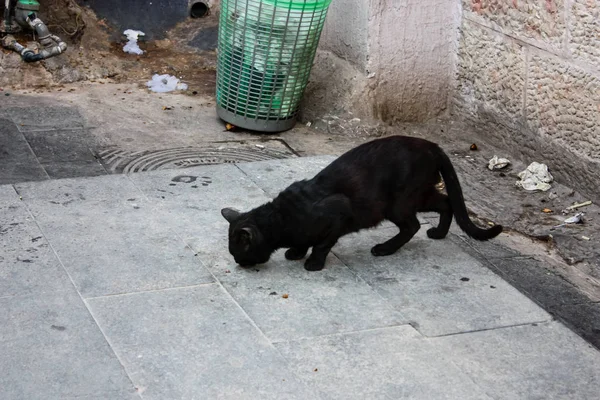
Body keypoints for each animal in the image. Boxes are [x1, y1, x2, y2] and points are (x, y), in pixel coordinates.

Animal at [221, 136, 502, 270]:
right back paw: (439, 233)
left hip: (399, 202)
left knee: (413, 225)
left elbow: (322, 244)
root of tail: (432, 145)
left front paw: (313, 263)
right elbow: (305, 242)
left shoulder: (338, 214)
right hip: (420, 195)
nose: (238, 264)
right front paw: (296, 252)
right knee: (446, 203)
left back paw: (385, 249)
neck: (282, 219)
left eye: (238, 252)